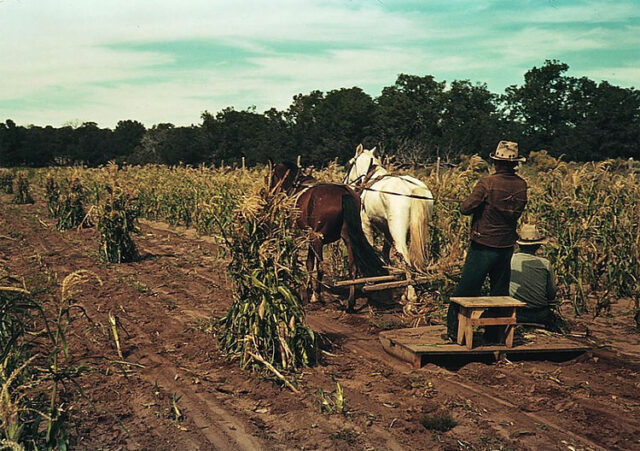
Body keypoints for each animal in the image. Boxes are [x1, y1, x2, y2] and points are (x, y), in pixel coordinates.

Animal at [268, 162, 384, 314]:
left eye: (271, 176)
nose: (269, 194)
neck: (297, 184)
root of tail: (344, 194)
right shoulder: (311, 237)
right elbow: (309, 263)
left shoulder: (310, 237)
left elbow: (310, 264)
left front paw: (308, 292)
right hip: (348, 238)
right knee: (353, 268)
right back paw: (350, 304)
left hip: (318, 239)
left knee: (321, 266)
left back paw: (317, 295)